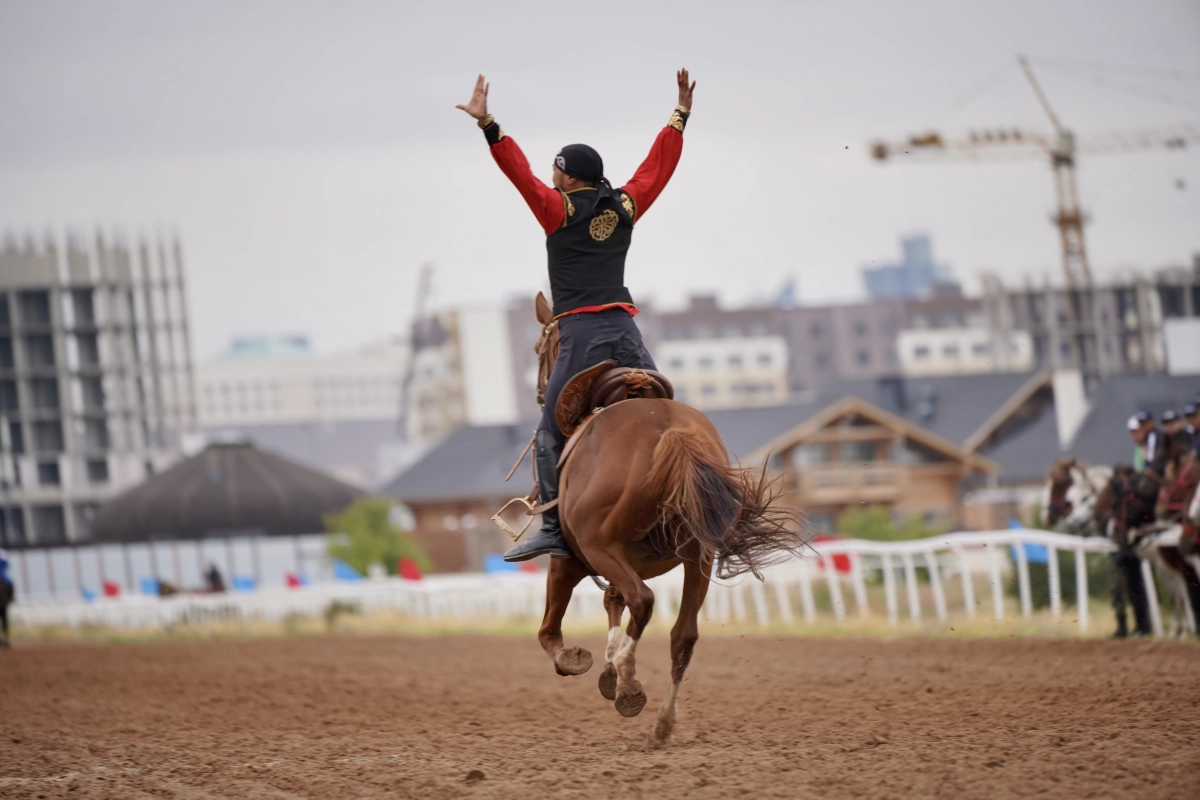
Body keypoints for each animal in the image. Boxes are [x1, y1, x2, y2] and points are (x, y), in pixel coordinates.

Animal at [528, 296, 806, 743]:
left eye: (541, 349)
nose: (540, 392)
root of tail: (669, 430)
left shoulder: (571, 559)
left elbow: (551, 628)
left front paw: (583, 661)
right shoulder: (627, 562)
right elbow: (613, 602)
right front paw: (612, 672)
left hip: (598, 548)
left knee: (643, 602)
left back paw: (629, 679)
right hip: (698, 557)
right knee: (683, 634)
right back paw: (662, 720)